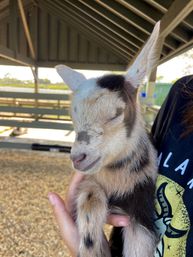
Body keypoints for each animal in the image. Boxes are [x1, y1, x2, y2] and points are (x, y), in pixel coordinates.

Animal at [56, 21, 160, 256]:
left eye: (115, 114)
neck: (117, 181)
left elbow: (140, 246)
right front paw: (91, 246)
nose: (78, 158)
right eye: (73, 116)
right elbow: (90, 201)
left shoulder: (141, 205)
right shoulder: (90, 181)